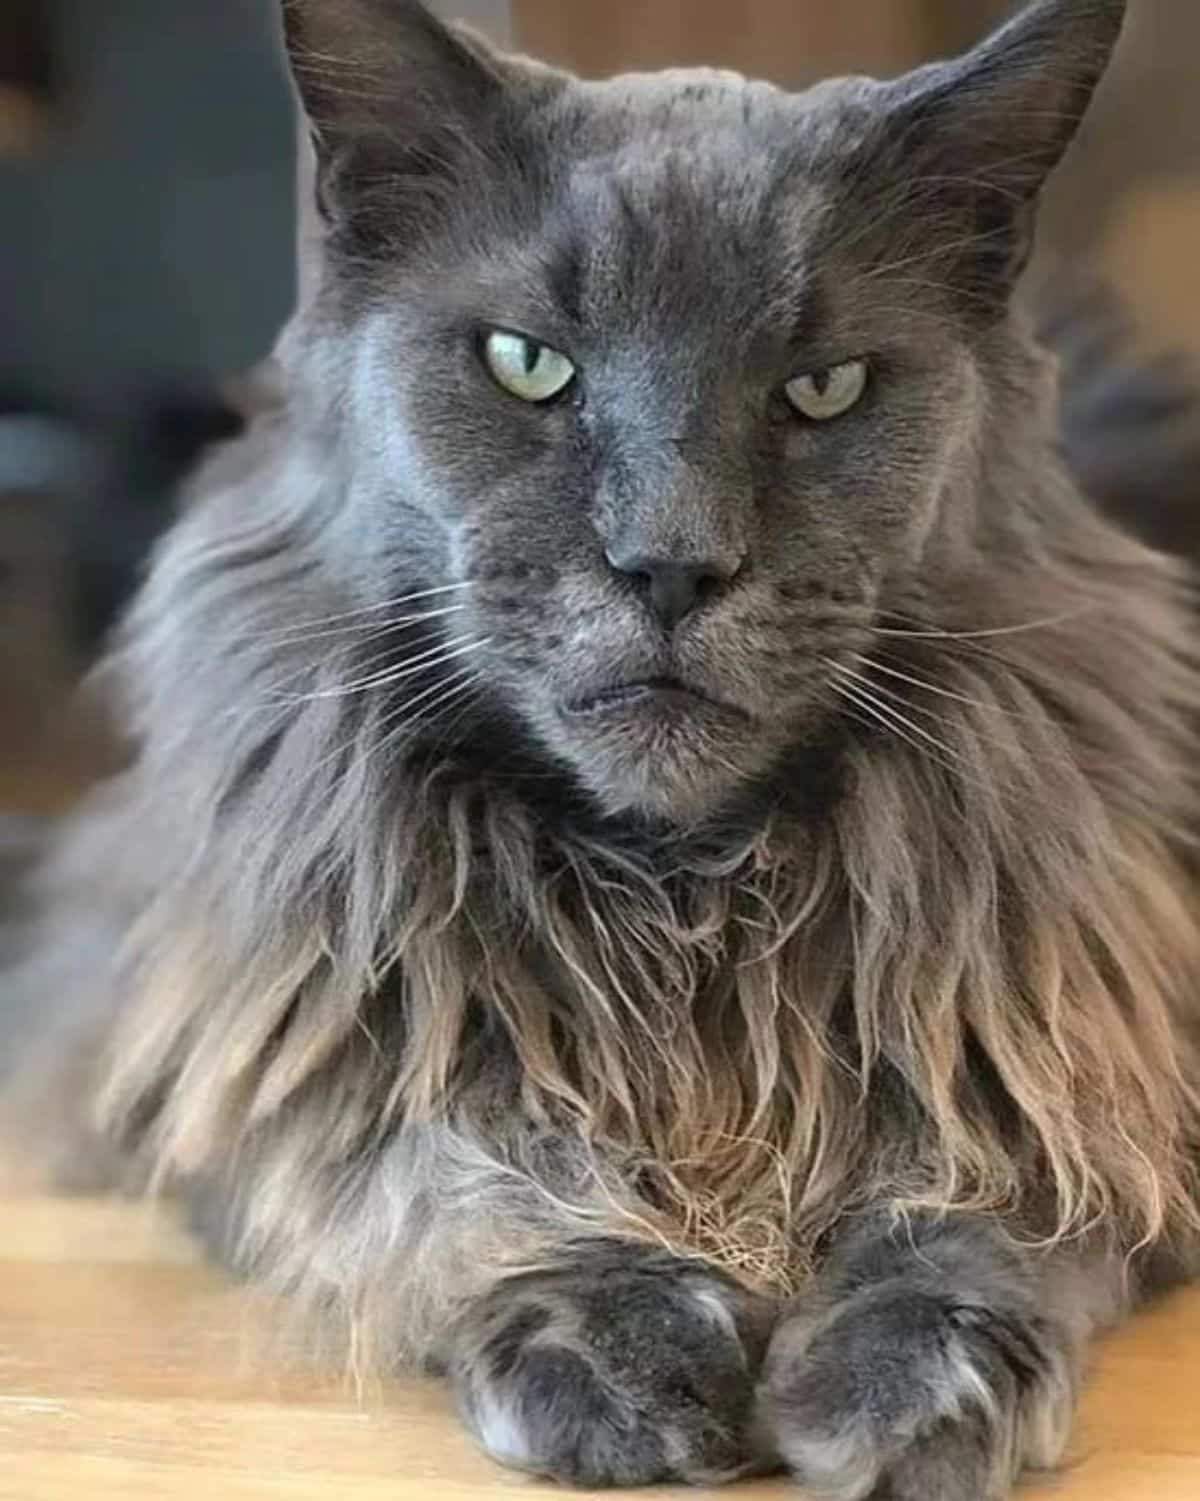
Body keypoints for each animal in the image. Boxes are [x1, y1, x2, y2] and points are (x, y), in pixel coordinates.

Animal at [2, 0, 1200, 1494]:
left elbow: (997, 1184)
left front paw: (915, 1370)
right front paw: (621, 1338)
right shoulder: (258, 1064)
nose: (671, 565)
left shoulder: (1100, 1049)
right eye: (528, 366)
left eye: (825, 388)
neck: (682, 902)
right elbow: (450, 1171)